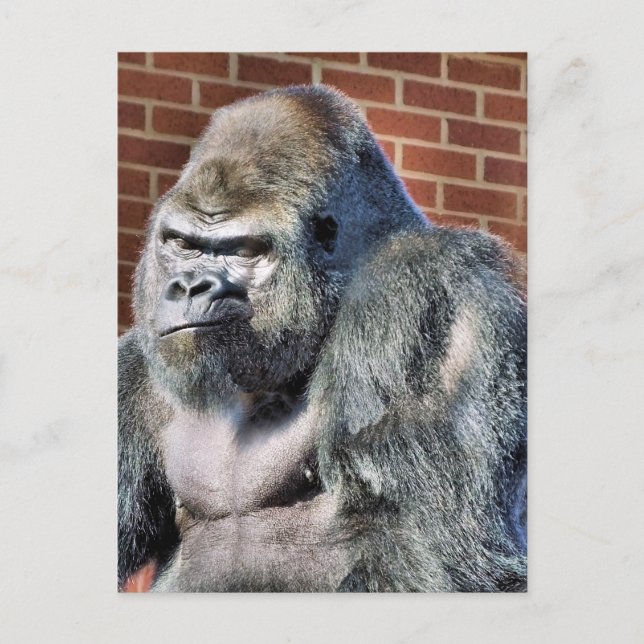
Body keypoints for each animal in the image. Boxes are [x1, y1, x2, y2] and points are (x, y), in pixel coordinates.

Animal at [118, 84, 527, 592]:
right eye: (181, 244)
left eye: (245, 251)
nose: (192, 286)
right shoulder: (132, 372)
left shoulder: (425, 289)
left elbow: (444, 557)